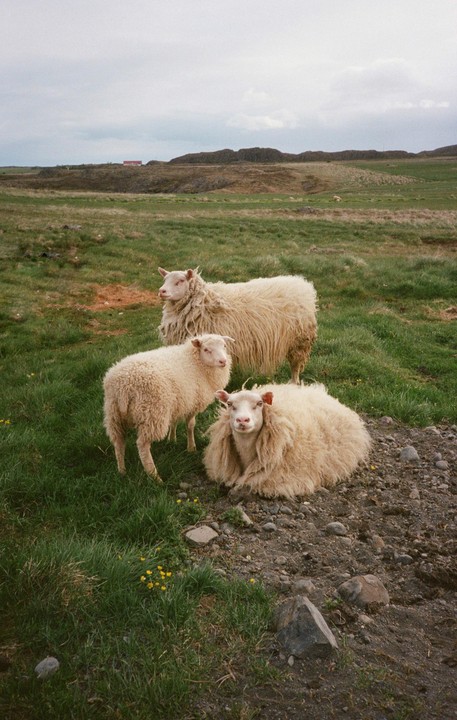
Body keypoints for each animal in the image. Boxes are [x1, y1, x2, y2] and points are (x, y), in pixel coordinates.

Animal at [103, 334, 233, 480]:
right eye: (206, 349)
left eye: (224, 346)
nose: (223, 361)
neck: (195, 361)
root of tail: (124, 386)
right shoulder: (192, 403)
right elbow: (190, 425)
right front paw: (191, 448)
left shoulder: (177, 402)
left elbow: (174, 422)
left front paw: (172, 440)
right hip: (151, 414)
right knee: (142, 445)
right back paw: (155, 476)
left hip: (113, 415)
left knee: (118, 443)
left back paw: (122, 471)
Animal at [157, 267, 317, 384]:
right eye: (165, 280)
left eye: (180, 281)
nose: (161, 291)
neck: (204, 303)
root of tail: (302, 284)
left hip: (300, 341)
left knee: (295, 365)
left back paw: (294, 382)